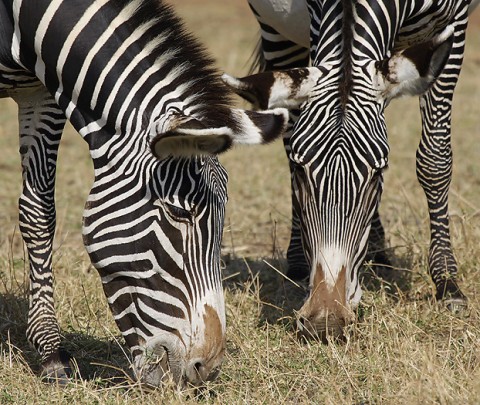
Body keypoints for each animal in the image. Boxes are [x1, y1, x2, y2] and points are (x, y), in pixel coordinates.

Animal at [0, 0, 288, 386]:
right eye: (179, 212)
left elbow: (39, 211)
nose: (206, 369)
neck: (22, 21)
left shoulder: (41, 92)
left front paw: (50, 353)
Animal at [226, 0, 480, 340]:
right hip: (276, 30)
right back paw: (301, 264)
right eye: (301, 174)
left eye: (378, 175)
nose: (325, 320)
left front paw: (447, 282)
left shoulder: (452, 25)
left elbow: (435, 158)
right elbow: (292, 146)